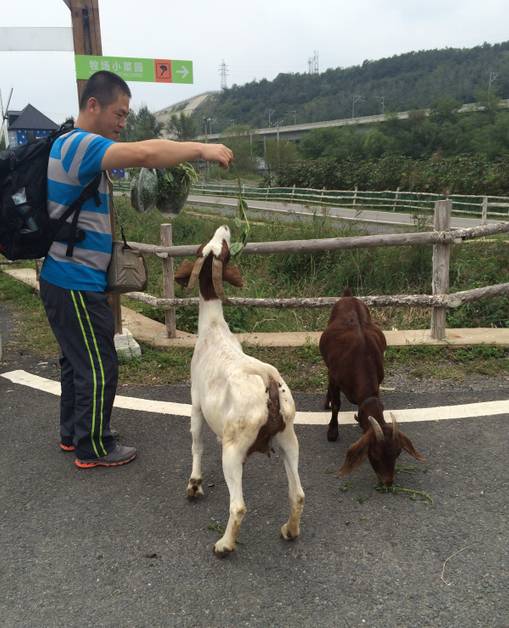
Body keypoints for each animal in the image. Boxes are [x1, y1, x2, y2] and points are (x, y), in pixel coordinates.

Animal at [173, 227, 304, 560]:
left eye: (222, 247)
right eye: (213, 245)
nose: (226, 229)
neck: (213, 327)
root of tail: (269, 380)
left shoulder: (195, 403)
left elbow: (196, 443)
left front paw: (194, 485)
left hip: (233, 446)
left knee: (239, 506)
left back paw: (224, 545)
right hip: (288, 437)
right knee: (297, 493)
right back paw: (290, 530)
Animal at [320, 288, 422, 488]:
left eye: (398, 452)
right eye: (374, 453)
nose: (388, 482)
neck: (362, 357)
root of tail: (348, 296)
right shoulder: (335, 377)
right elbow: (336, 404)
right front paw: (332, 431)